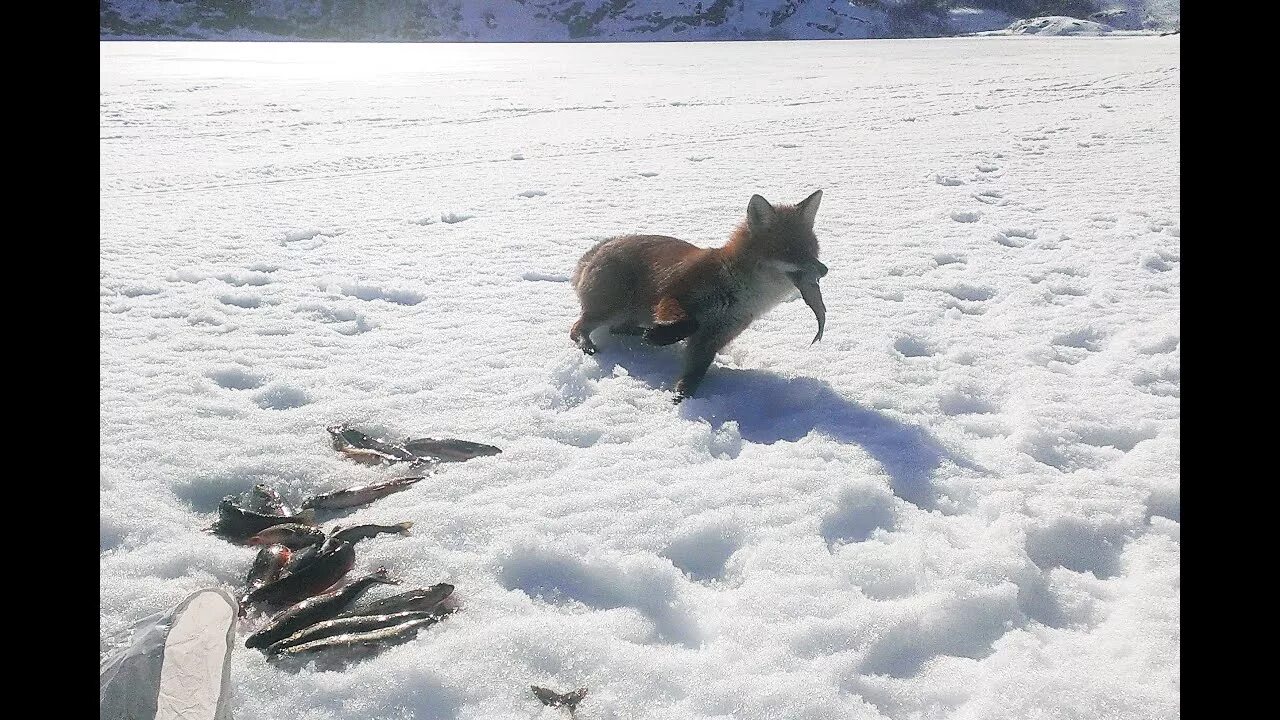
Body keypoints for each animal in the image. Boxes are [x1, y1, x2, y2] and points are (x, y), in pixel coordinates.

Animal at [570, 190, 829, 397]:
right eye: (789, 250)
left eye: (813, 249)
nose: (824, 270)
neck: (738, 293)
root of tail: (599, 249)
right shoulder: (674, 295)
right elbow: (690, 322)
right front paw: (661, 337)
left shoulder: (714, 338)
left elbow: (695, 372)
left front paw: (683, 396)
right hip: (611, 308)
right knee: (577, 328)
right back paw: (591, 343)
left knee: (618, 328)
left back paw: (643, 332)